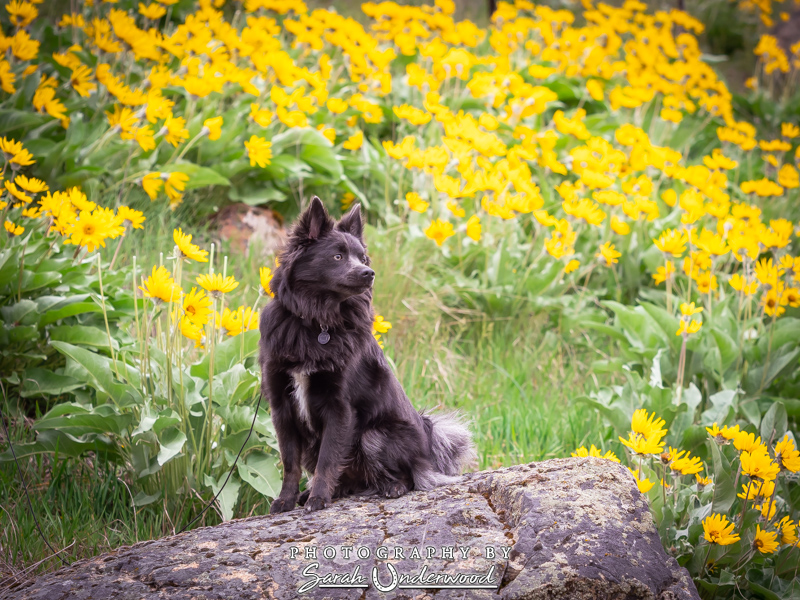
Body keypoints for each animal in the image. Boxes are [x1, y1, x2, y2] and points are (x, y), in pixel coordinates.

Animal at [260, 196, 476, 510]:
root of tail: (428, 449)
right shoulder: (282, 406)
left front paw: (318, 498)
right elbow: (290, 463)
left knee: (407, 476)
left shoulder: (339, 408)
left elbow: (328, 460)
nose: (369, 273)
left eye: (362, 258)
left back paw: (392, 487)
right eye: (337, 257)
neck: (317, 321)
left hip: (373, 435)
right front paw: (286, 499)